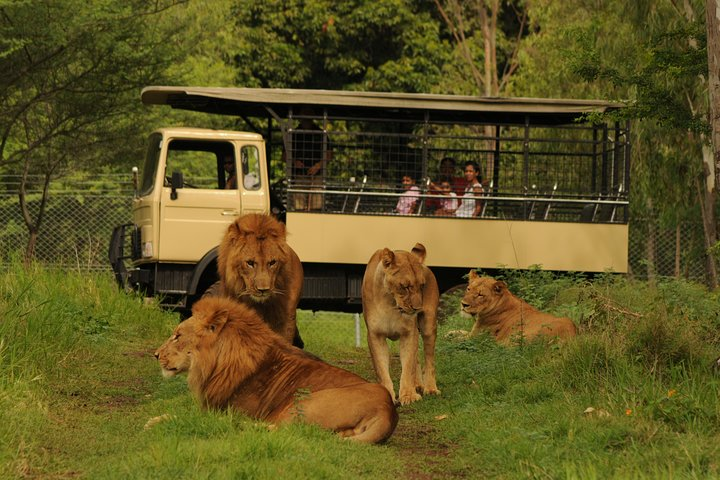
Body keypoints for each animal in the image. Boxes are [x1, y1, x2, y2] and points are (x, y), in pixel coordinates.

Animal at [154, 296, 398, 444]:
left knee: (290, 432)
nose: (155, 355)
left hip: (301, 404)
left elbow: (182, 416)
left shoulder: (221, 409)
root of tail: (387, 410)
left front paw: (155, 421)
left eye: (177, 335)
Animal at [361, 243, 440, 405]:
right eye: (405, 286)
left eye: (422, 285)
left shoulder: (409, 333)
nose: (417, 308)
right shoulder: (375, 335)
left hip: (428, 326)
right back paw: (418, 385)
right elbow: (381, 368)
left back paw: (430, 388)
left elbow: (408, 366)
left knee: (429, 359)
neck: (390, 303)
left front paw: (408, 395)